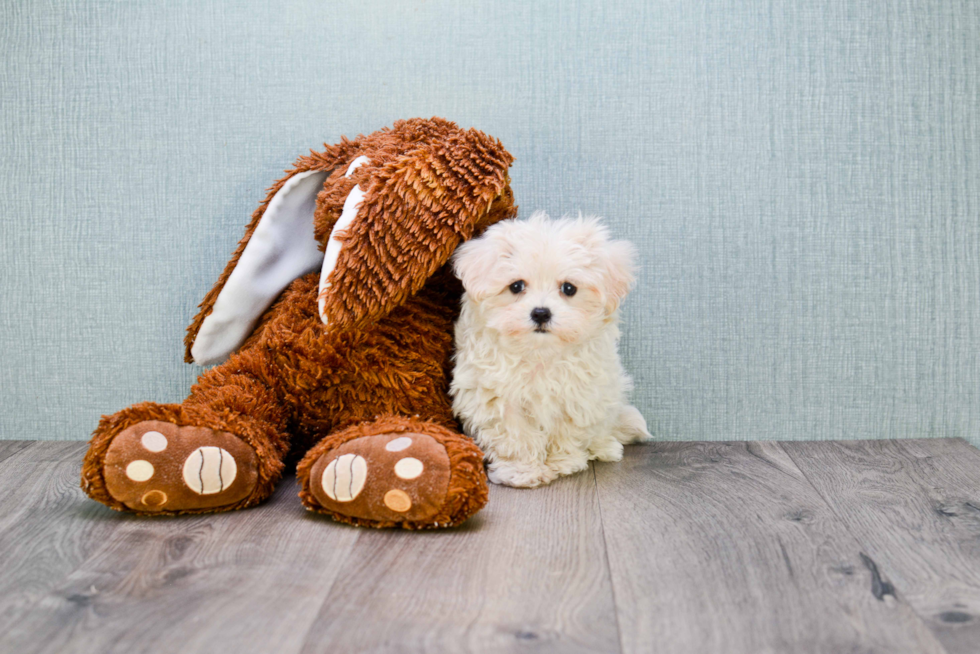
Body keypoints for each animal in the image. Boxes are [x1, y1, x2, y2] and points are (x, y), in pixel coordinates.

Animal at [450, 213, 652, 490]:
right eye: (516, 286)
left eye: (569, 288)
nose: (541, 313)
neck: (539, 354)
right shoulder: (496, 399)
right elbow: (516, 437)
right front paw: (522, 471)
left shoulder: (580, 394)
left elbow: (567, 431)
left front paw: (563, 463)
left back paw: (605, 447)